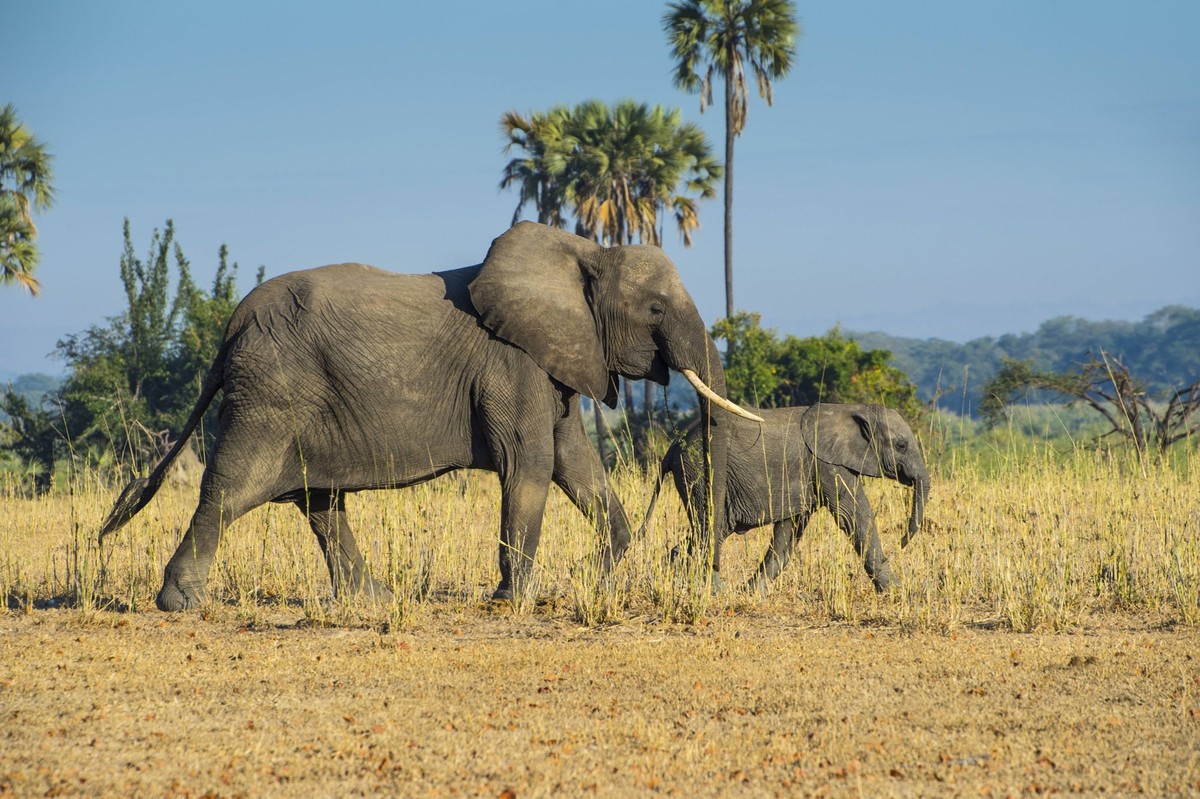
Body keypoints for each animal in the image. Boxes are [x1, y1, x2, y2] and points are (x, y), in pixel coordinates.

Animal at [99, 221, 761, 610]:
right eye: (655, 310)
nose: (709, 578)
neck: (584, 254)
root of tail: (230, 327)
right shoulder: (510, 361)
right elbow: (530, 463)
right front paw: (512, 600)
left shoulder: (553, 358)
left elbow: (574, 462)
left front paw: (597, 573)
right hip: (270, 393)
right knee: (234, 488)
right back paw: (181, 602)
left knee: (319, 501)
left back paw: (371, 602)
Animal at [641, 403, 929, 593]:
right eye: (902, 445)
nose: (902, 542)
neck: (855, 409)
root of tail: (673, 446)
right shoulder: (827, 465)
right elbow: (854, 514)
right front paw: (898, 591)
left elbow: (788, 533)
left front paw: (750, 593)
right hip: (701, 471)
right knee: (711, 529)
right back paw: (713, 592)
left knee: (706, 532)